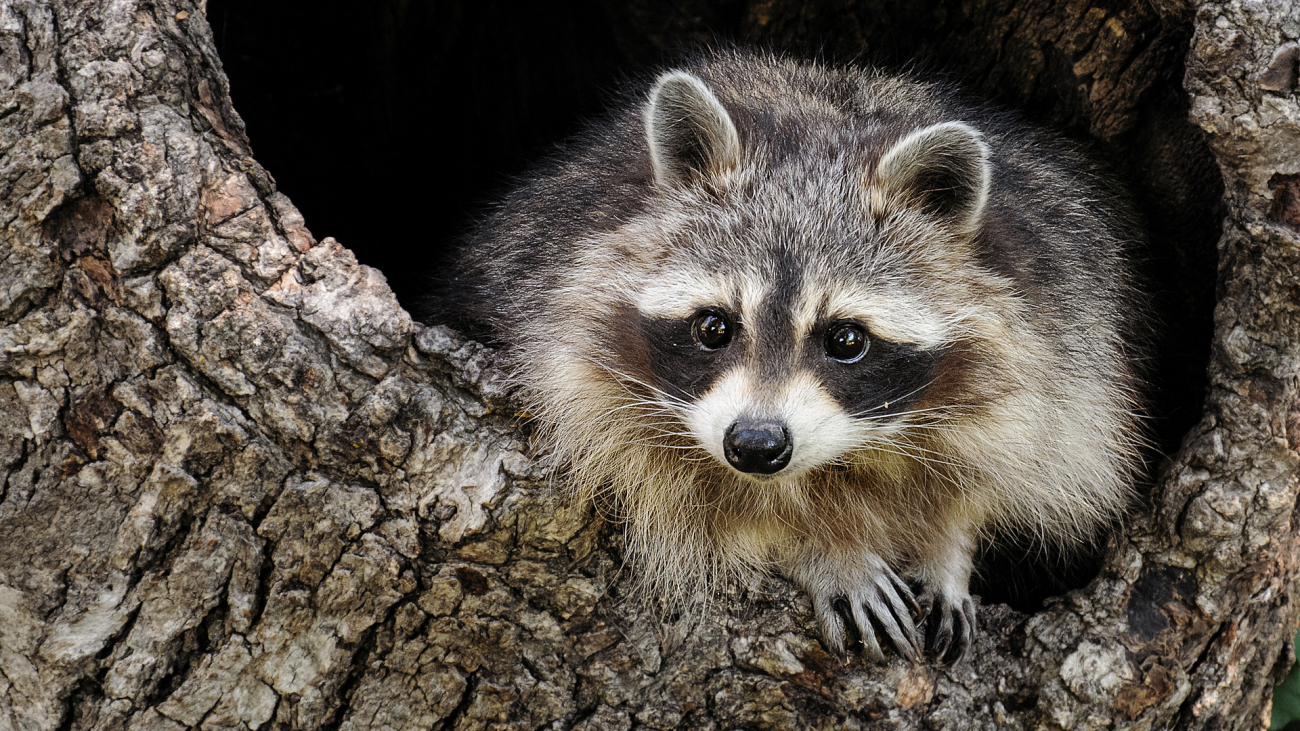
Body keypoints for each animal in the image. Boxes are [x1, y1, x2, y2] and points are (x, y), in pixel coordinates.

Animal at [431, 49, 1144, 660]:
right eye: (713, 328)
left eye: (846, 340)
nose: (756, 445)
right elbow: (679, 497)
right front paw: (818, 547)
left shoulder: (1060, 328)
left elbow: (1012, 457)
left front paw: (950, 549)